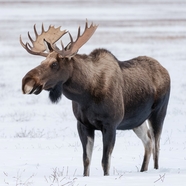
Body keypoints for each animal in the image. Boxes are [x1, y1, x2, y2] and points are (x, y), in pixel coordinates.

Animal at [20, 20, 170, 176]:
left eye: (54, 64)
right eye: (41, 63)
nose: (26, 81)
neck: (85, 95)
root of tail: (164, 69)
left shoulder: (110, 124)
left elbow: (105, 162)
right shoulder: (83, 125)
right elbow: (86, 160)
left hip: (159, 113)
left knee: (156, 146)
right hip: (136, 121)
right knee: (148, 141)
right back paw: (142, 170)